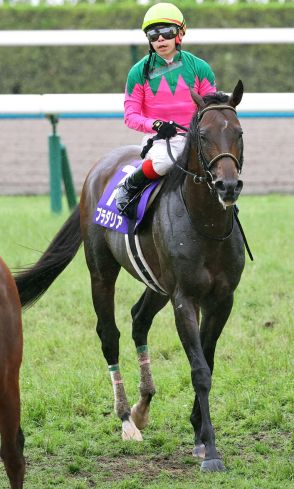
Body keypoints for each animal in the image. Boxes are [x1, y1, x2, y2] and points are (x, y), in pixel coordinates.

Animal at [16, 81, 246, 472]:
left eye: (239, 133)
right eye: (203, 135)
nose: (227, 186)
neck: (207, 225)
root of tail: (98, 169)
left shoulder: (222, 299)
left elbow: (209, 363)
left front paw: (199, 437)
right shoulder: (185, 298)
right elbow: (199, 370)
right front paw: (212, 451)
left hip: (157, 284)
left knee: (139, 319)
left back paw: (142, 407)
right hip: (101, 272)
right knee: (109, 335)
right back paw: (126, 419)